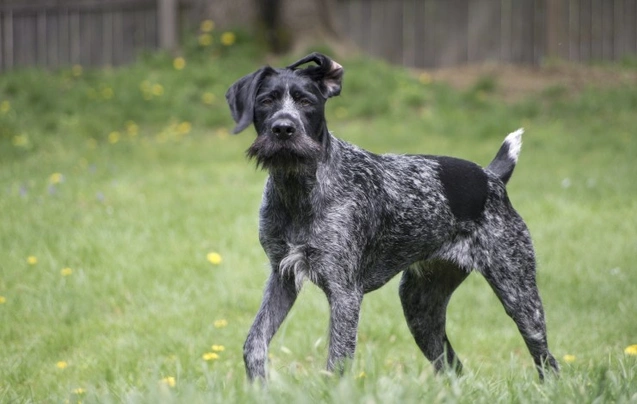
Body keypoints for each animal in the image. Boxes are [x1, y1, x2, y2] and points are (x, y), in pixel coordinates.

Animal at [226, 52, 560, 380]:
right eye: (266, 101)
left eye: (306, 101)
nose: (283, 129)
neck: (297, 190)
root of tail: (491, 177)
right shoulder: (282, 277)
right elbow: (254, 344)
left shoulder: (345, 293)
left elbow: (337, 363)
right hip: (420, 309)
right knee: (454, 368)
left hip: (519, 296)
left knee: (547, 360)